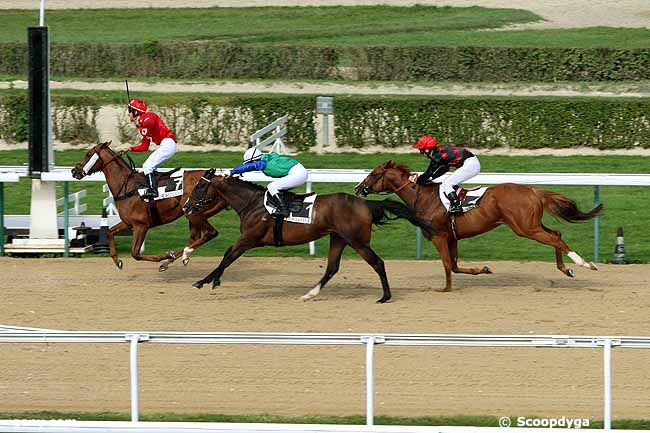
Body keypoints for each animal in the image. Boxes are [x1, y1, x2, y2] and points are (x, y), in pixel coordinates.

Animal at [70, 142, 228, 270]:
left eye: (88, 154)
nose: (74, 171)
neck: (128, 187)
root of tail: (216, 179)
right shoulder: (129, 223)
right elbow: (109, 232)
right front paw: (117, 261)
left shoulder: (141, 225)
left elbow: (135, 253)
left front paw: (163, 257)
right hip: (194, 213)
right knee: (195, 238)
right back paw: (176, 258)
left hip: (194, 212)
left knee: (210, 233)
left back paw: (174, 257)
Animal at [182, 171, 436, 300]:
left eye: (199, 187)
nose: (186, 206)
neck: (253, 204)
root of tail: (365, 203)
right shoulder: (248, 240)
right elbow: (227, 256)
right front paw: (211, 280)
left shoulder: (249, 239)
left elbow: (227, 256)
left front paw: (205, 281)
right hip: (338, 238)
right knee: (332, 267)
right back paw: (310, 293)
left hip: (357, 241)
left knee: (378, 263)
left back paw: (385, 296)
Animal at [354, 160, 604, 292]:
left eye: (374, 174)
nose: (358, 188)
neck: (424, 197)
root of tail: (534, 190)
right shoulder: (452, 237)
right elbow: (455, 265)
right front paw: (483, 269)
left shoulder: (439, 236)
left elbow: (447, 264)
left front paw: (445, 289)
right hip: (532, 224)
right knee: (557, 233)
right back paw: (566, 269)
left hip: (525, 228)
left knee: (554, 238)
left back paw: (584, 263)